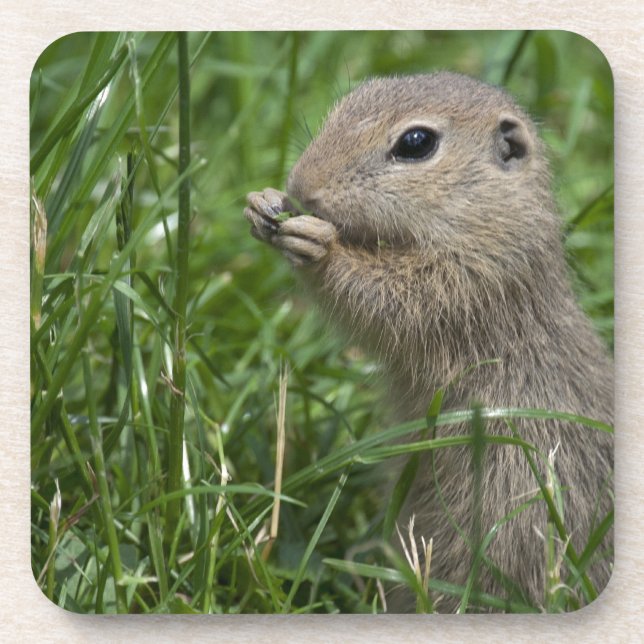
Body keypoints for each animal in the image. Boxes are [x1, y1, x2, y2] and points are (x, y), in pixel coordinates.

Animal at [244, 72, 613, 613]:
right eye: (348, 100)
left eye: (416, 143)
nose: (302, 187)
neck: (488, 217)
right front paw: (261, 203)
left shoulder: (470, 280)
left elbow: (388, 299)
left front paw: (320, 246)